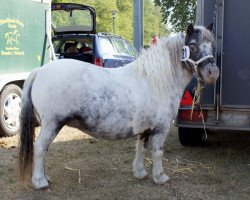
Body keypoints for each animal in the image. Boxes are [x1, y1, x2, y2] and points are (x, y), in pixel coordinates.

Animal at [19, 23, 219, 189]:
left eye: (212, 46)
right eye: (192, 47)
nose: (213, 73)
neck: (156, 80)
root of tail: (40, 71)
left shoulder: (145, 128)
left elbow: (141, 148)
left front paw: (140, 173)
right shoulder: (160, 128)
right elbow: (157, 152)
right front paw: (159, 176)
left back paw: (46, 177)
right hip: (52, 124)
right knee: (40, 148)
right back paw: (40, 182)